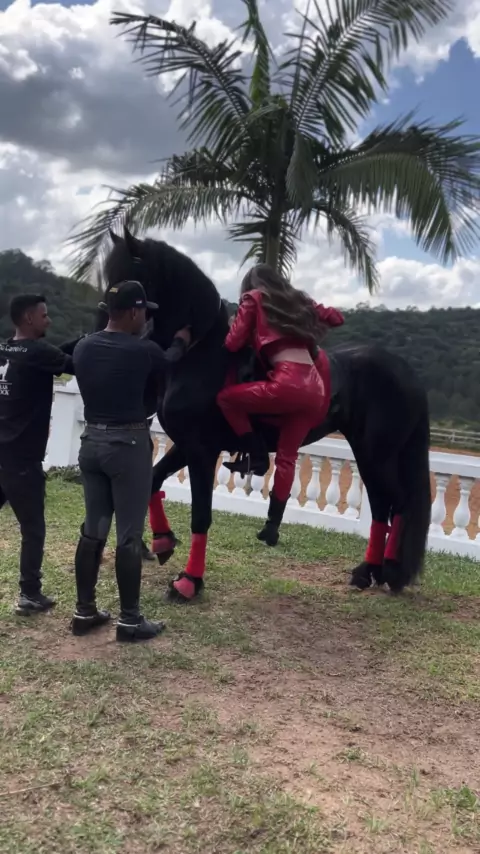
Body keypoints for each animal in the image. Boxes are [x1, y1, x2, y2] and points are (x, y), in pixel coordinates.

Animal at [99, 227, 431, 603]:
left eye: (131, 278)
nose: (106, 329)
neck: (202, 354)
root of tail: (406, 372)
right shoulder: (185, 446)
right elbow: (154, 482)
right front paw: (163, 542)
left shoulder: (201, 451)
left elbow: (201, 516)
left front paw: (189, 582)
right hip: (369, 453)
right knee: (381, 505)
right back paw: (367, 571)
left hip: (377, 455)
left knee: (398, 504)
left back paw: (390, 571)